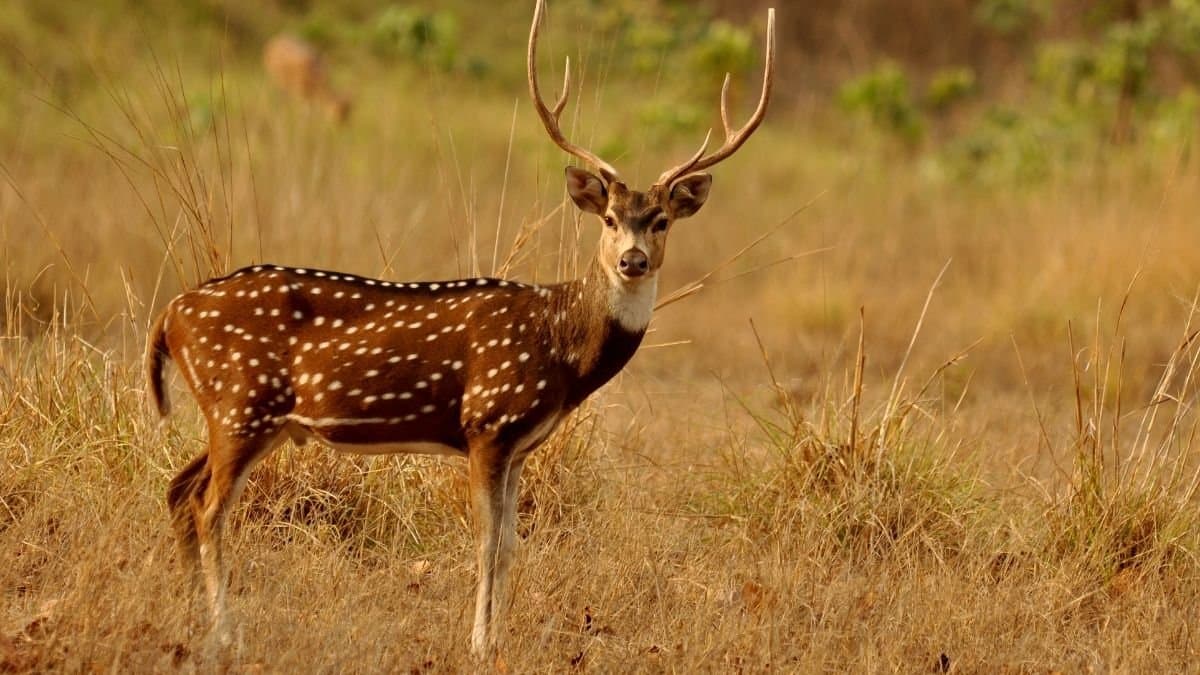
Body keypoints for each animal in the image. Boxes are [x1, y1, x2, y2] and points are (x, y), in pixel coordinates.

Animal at [147, 0, 774, 657]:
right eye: (607, 218)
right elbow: (487, 544)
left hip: (244, 415)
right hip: (242, 403)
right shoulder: (488, 421)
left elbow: (512, 546)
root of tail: (170, 315)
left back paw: (191, 619)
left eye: (661, 221)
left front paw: (498, 637)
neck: (561, 348)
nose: (632, 260)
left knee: (178, 488)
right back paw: (224, 633)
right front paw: (479, 643)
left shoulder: (521, 444)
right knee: (208, 507)